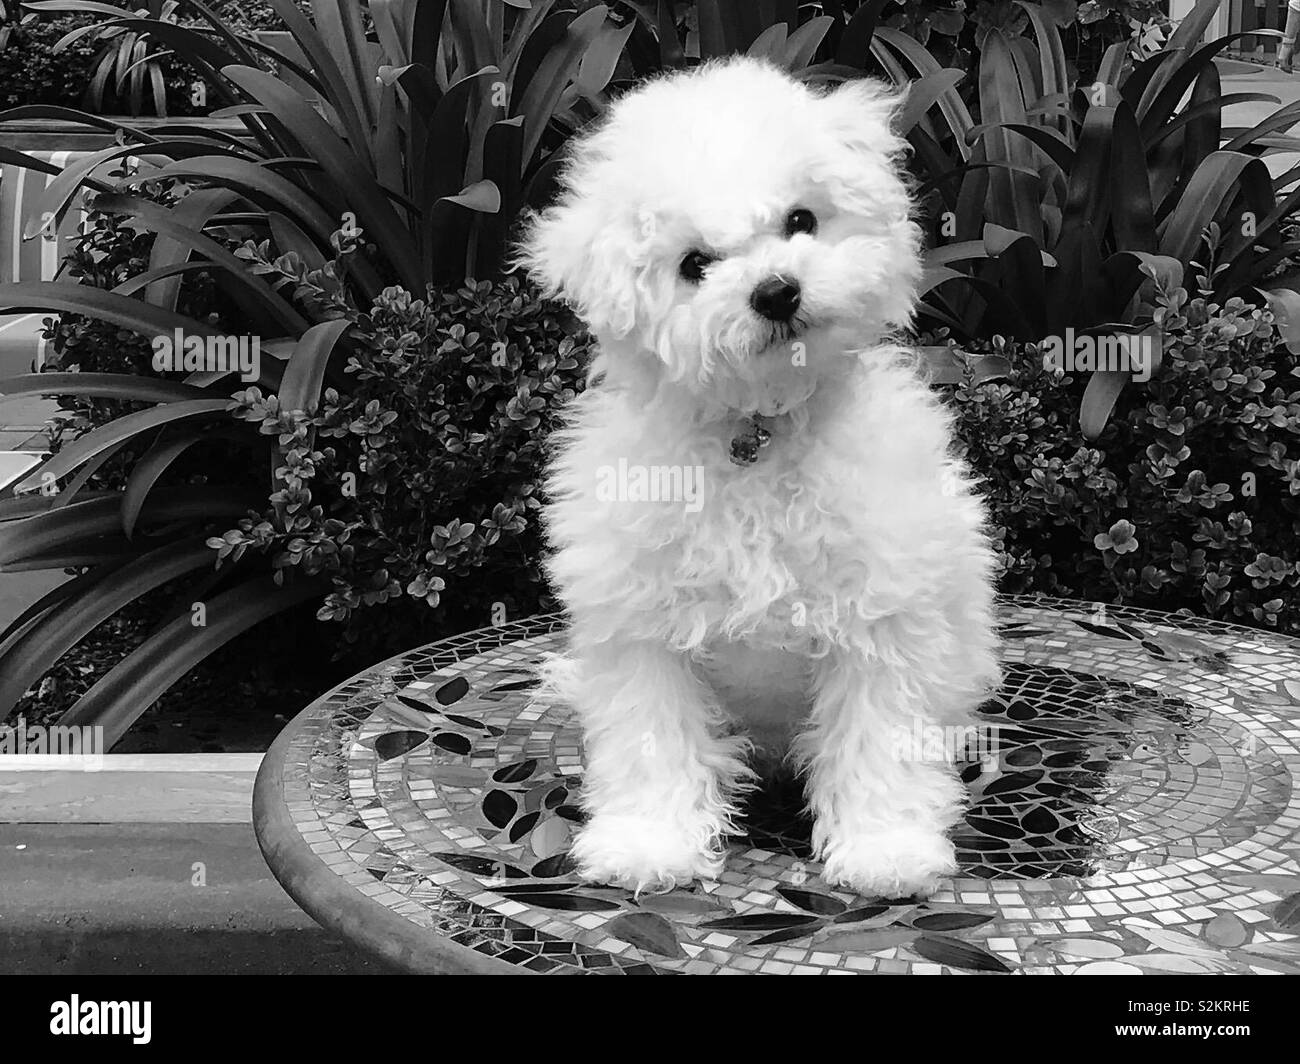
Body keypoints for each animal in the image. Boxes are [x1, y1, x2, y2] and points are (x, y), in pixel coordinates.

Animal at [512, 55, 998, 894]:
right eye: (693, 265)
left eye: (801, 221)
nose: (776, 291)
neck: (757, 430)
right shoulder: (644, 628)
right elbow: (653, 737)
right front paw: (650, 842)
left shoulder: (882, 614)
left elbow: (879, 736)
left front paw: (886, 849)